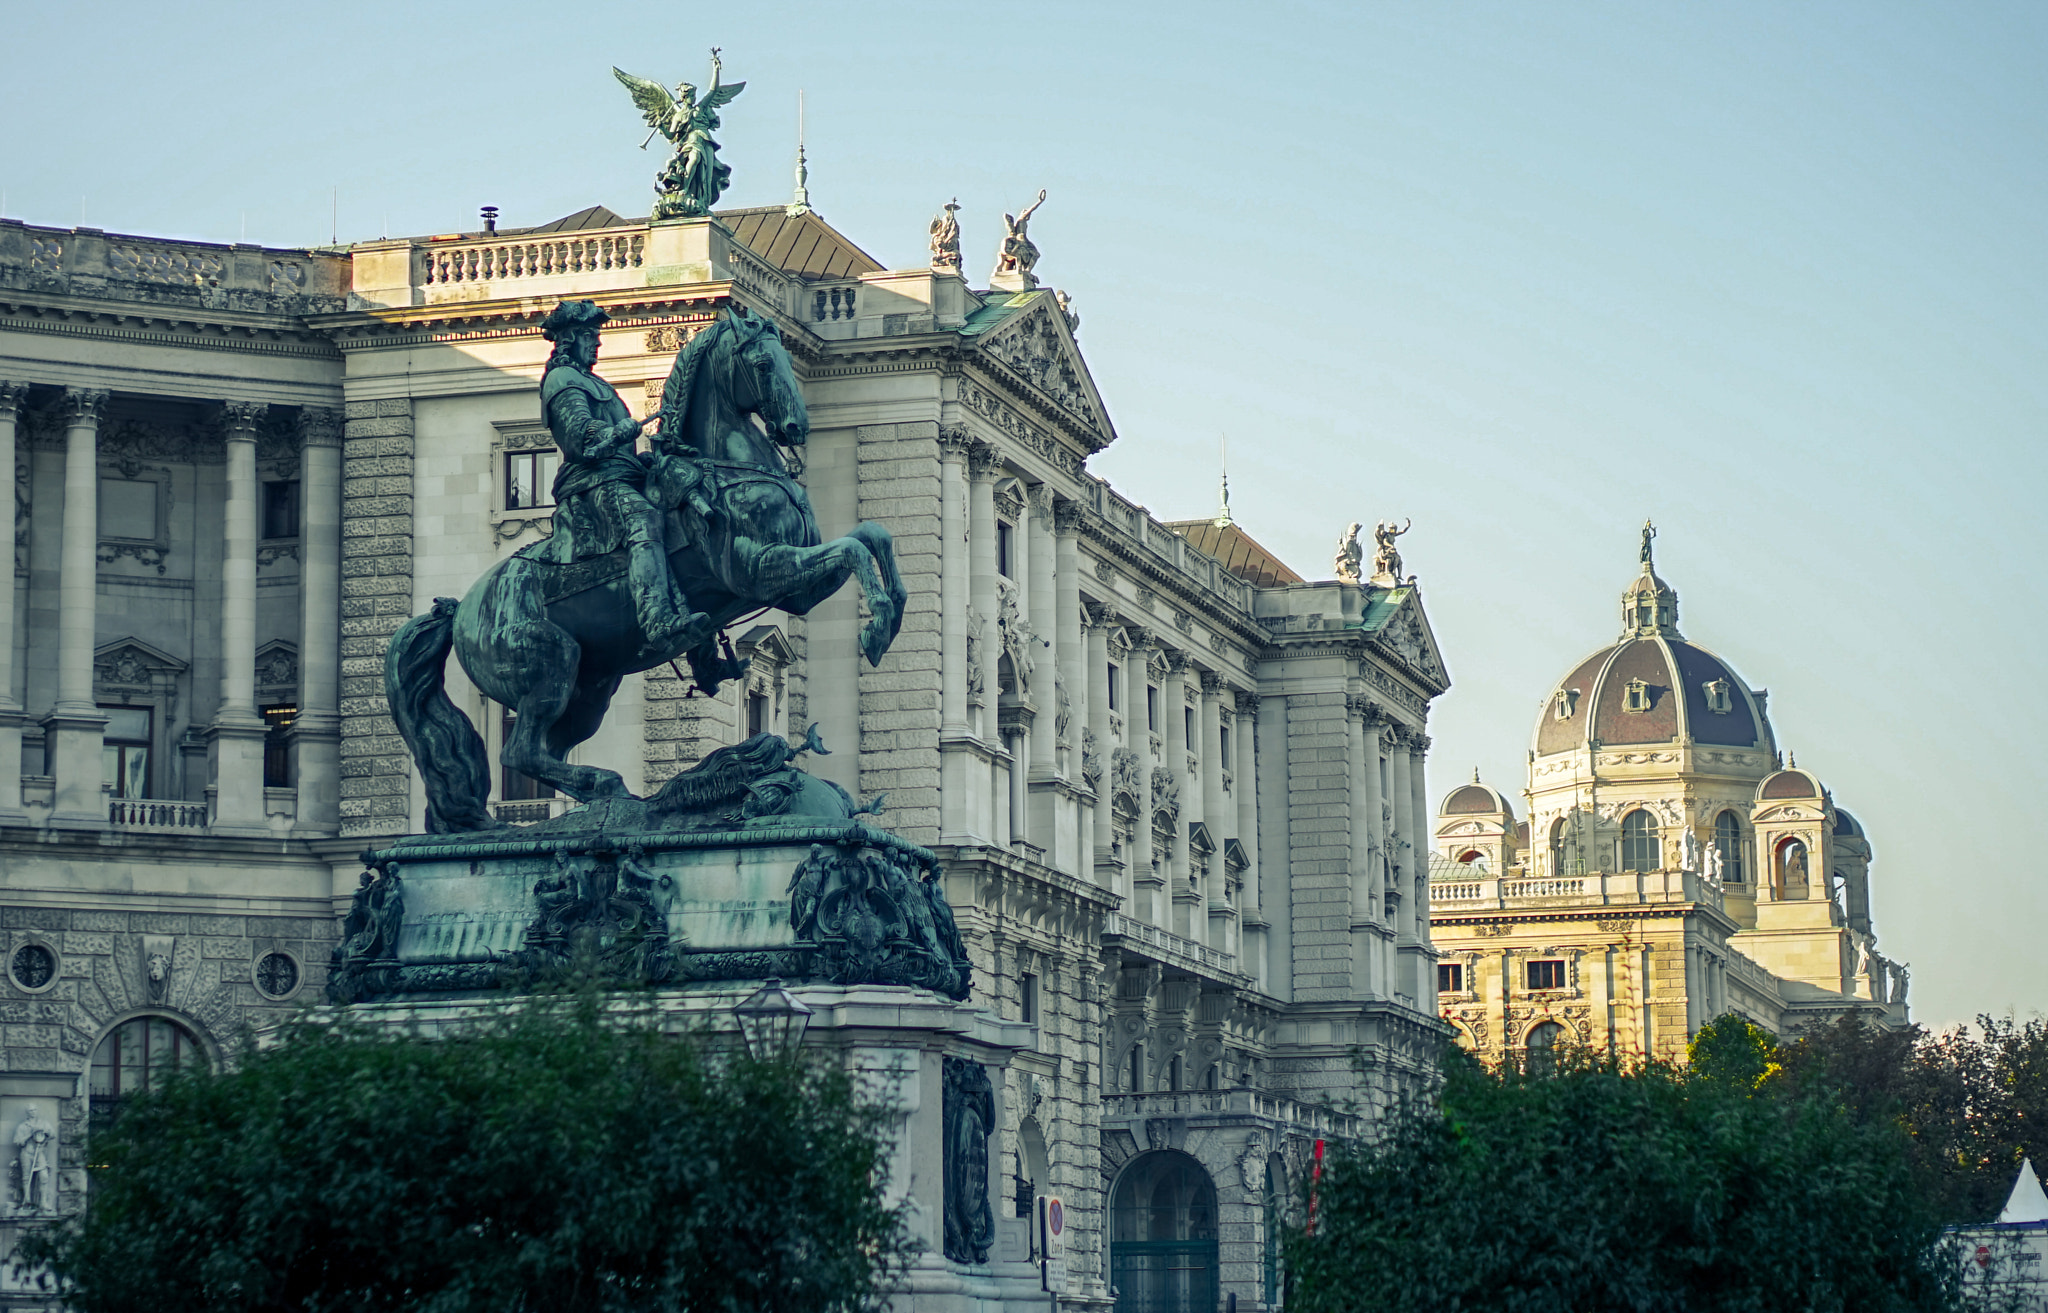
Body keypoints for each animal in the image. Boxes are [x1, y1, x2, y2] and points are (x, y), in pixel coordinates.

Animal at [391, 307, 905, 827]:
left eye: (786, 359)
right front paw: (877, 629)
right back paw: (606, 788)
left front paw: (895, 609)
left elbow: (871, 538)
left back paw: (612, 798)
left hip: (591, 689)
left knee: (544, 750)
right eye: (762, 364)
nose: (796, 429)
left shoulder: (795, 592)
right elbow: (854, 550)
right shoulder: (761, 572)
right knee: (519, 750)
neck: (727, 472)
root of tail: (461, 609)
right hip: (551, 663)